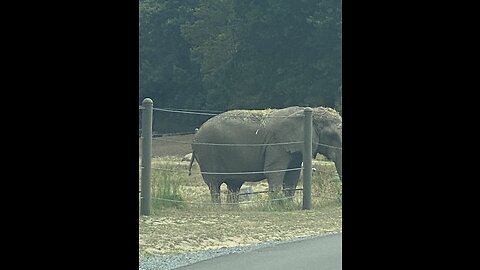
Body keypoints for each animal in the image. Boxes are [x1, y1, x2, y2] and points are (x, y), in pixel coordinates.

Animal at [188, 105, 342, 202]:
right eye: (332, 136)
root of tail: (195, 134)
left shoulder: (295, 149)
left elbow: (292, 176)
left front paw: (287, 205)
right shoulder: (277, 144)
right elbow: (274, 173)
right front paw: (277, 205)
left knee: (234, 185)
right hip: (207, 154)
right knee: (214, 184)